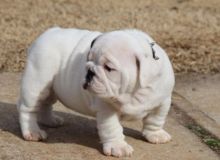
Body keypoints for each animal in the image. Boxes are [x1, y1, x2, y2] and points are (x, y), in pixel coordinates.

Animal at [17, 26, 174, 157]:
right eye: (89, 59)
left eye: (109, 68)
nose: (89, 71)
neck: (133, 93)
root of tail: (47, 33)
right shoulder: (106, 109)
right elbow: (112, 128)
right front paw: (118, 147)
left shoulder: (163, 101)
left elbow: (156, 119)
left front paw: (156, 134)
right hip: (36, 82)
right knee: (28, 109)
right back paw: (32, 132)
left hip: (51, 89)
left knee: (45, 103)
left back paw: (50, 120)